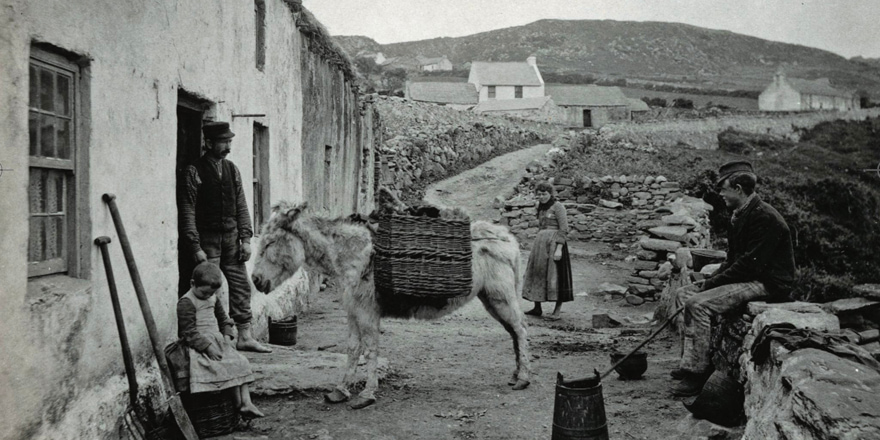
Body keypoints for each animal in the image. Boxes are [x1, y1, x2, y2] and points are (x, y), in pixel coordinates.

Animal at [251, 201, 531, 409]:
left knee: (521, 330)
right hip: (491, 300)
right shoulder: (353, 312)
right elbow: (352, 348)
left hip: (500, 297)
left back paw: (524, 379)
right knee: (513, 332)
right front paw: (340, 390)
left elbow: (370, 349)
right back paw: (516, 374)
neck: (353, 254)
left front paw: (367, 394)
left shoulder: (367, 312)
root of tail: (507, 237)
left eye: (270, 242)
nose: (255, 280)